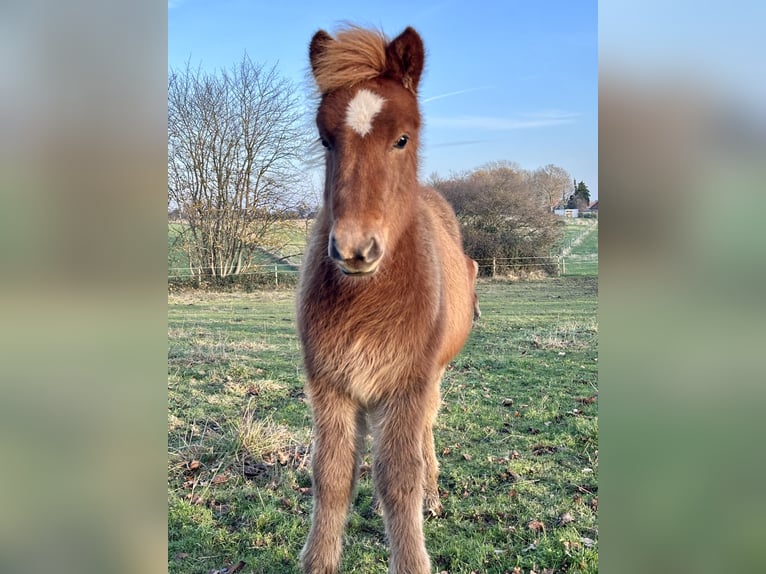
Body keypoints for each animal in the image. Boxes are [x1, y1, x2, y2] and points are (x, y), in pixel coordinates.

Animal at [297, 26, 479, 574]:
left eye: (402, 138)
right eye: (325, 139)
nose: (354, 249)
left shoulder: (405, 386)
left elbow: (399, 481)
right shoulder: (330, 386)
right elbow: (332, 477)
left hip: (431, 376)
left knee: (425, 434)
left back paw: (434, 496)